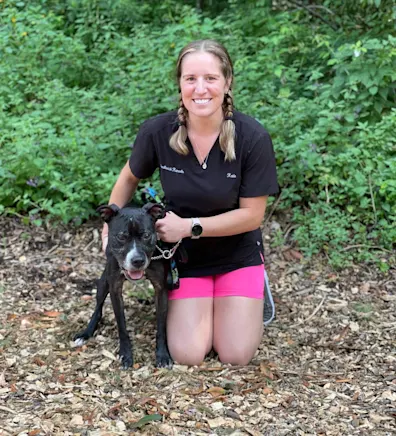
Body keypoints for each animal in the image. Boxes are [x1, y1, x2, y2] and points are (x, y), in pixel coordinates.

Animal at [74, 204, 173, 368]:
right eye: (121, 236)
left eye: (146, 235)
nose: (137, 260)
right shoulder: (115, 288)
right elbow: (121, 325)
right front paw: (125, 354)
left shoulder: (161, 289)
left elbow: (161, 326)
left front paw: (162, 355)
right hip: (103, 283)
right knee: (98, 308)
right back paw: (86, 333)